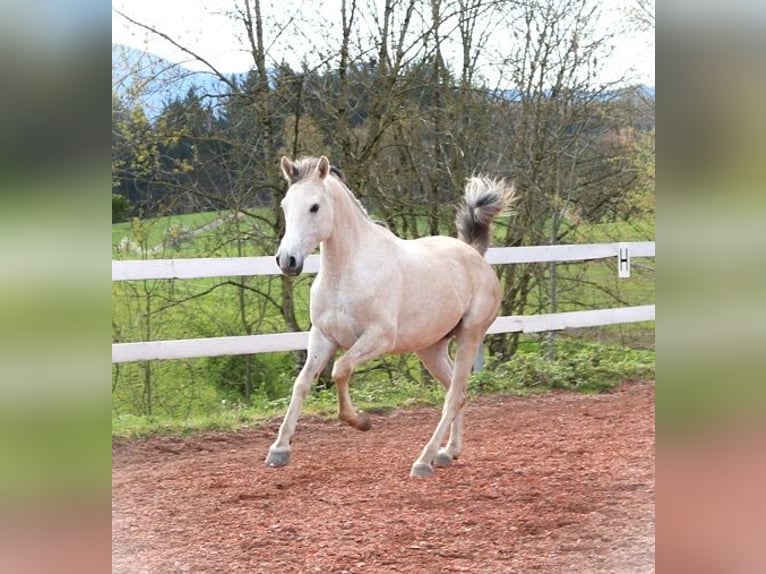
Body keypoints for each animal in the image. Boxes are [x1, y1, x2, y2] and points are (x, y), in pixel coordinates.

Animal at [267, 156, 514, 477]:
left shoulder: (379, 338)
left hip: (470, 335)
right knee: (458, 392)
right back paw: (448, 452)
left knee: (454, 396)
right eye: (285, 205)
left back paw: (424, 461)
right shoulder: (323, 337)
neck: (345, 273)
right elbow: (302, 383)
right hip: (430, 348)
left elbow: (341, 369)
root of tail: (474, 254)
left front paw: (360, 421)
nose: (288, 260)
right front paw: (279, 450)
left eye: (315, 207)